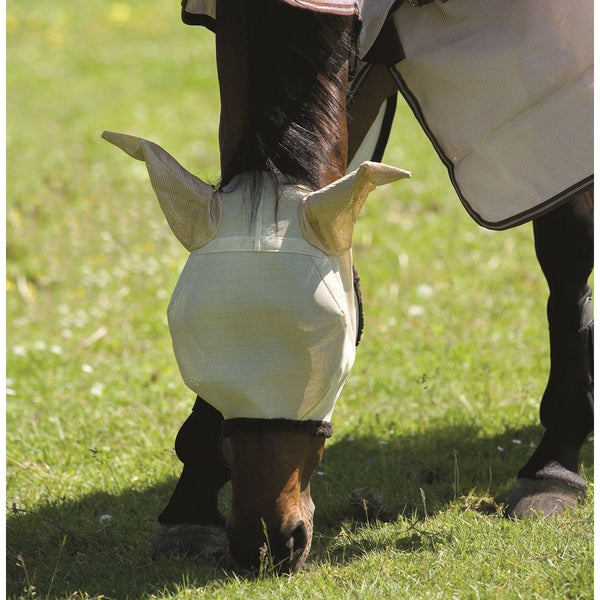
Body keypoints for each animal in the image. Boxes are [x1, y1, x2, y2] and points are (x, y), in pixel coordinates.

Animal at [105, 0, 592, 576]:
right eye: (191, 343)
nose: (267, 542)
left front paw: (553, 469)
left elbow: (567, 258)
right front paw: (190, 508)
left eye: (328, 342)